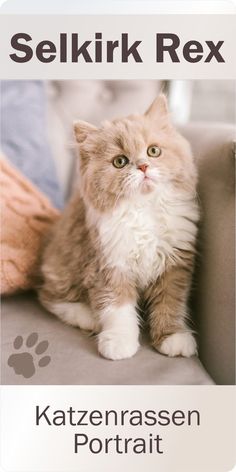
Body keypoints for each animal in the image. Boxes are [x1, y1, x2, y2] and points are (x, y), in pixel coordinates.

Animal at [39, 95, 199, 362]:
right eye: (120, 161)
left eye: (153, 151)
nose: (143, 167)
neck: (142, 210)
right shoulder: (108, 265)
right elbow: (118, 309)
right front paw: (119, 342)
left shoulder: (175, 264)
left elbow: (171, 304)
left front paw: (172, 337)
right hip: (63, 268)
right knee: (50, 297)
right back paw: (88, 318)